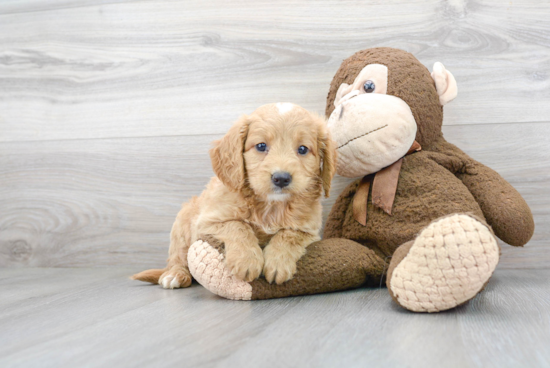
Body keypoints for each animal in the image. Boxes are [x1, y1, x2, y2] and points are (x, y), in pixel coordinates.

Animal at [134, 103, 338, 288]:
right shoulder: (208, 221)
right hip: (181, 227)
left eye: (303, 149)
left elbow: (288, 235)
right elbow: (238, 225)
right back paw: (175, 275)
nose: (281, 178)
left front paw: (278, 263)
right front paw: (247, 261)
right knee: (178, 258)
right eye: (261, 146)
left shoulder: (309, 231)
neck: (270, 206)